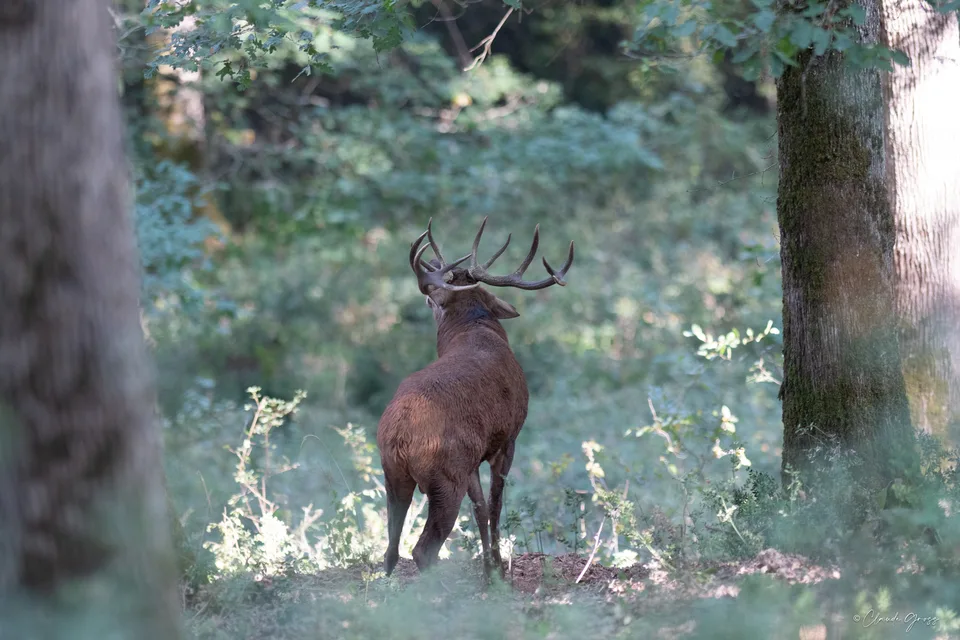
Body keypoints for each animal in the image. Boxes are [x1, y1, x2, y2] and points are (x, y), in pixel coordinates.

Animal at [376, 217, 574, 579]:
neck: (475, 330)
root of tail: (399, 436)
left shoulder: (474, 456)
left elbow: (480, 507)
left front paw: (489, 567)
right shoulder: (507, 437)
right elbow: (495, 502)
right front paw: (497, 569)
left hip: (394, 473)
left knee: (391, 548)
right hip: (444, 475)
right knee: (423, 548)